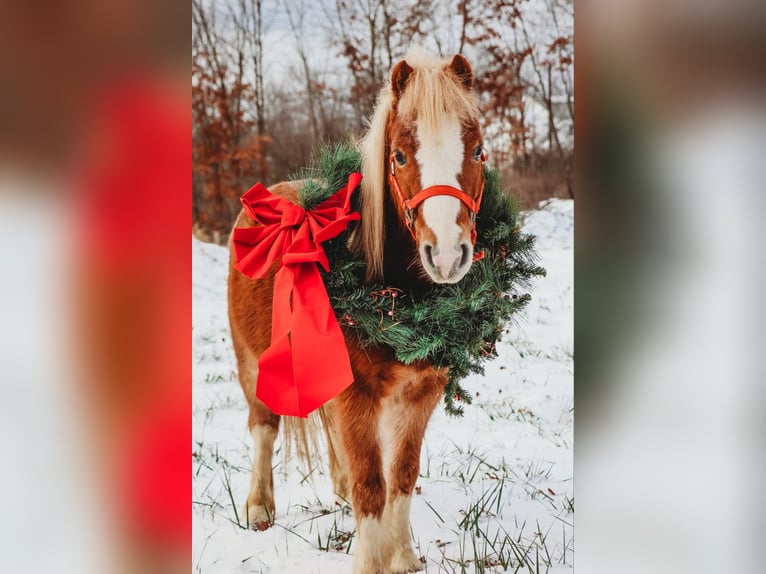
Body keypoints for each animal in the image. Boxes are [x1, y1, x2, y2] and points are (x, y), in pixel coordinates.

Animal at [228, 47, 486, 574]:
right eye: (400, 156)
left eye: (477, 151)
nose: (448, 255)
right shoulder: (357, 395)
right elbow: (373, 486)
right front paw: (372, 559)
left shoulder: (420, 394)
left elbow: (402, 477)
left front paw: (403, 556)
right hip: (251, 363)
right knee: (263, 428)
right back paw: (259, 507)